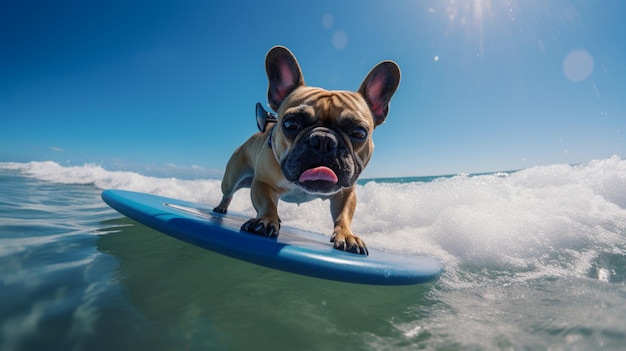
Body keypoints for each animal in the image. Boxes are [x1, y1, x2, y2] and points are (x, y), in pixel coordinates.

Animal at [213, 46, 400, 256]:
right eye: (290, 124)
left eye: (359, 132)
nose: (323, 140)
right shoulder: (261, 183)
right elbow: (267, 203)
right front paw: (266, 220)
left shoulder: (345, 193)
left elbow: (343, 215)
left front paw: (347, 235)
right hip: (231, 179)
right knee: (228, 193)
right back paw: (222, 208)